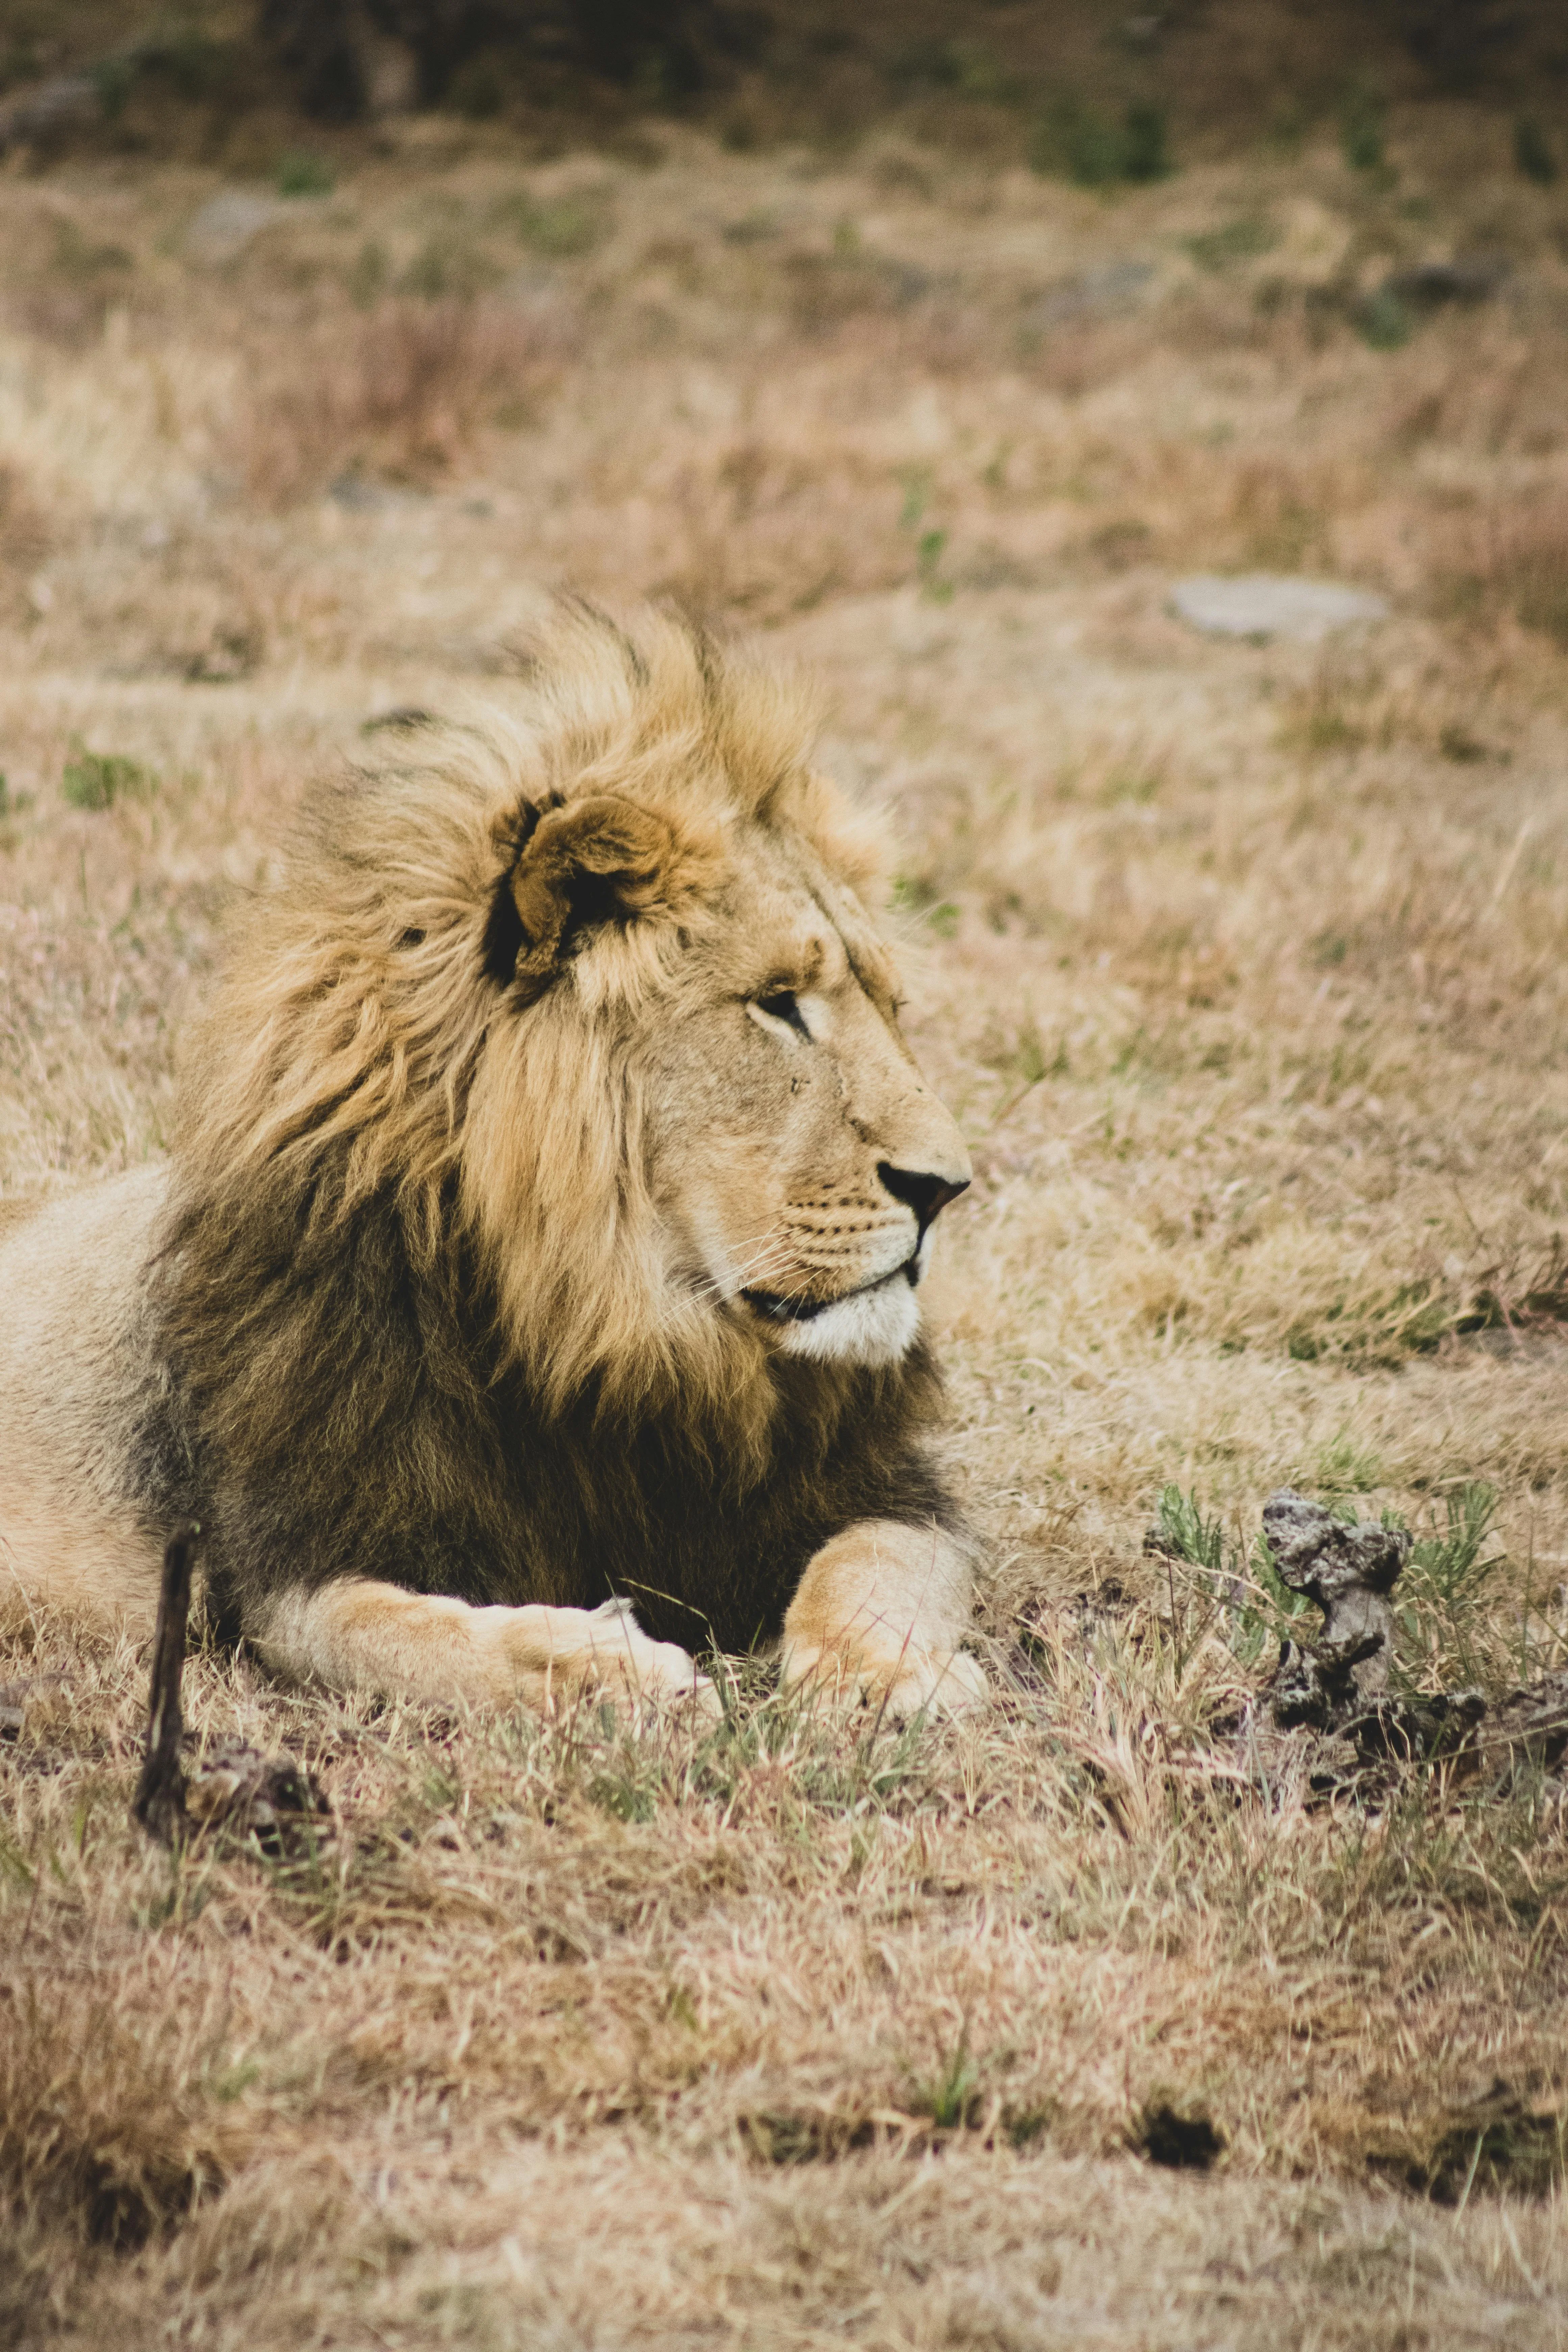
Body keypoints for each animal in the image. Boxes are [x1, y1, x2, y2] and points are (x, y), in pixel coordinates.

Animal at [0, 610, 985, 1719]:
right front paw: (609, 1665)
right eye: (776, 1004)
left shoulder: (879, 1489)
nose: (945, 1189)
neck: (609, 1326)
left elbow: (878, 1564)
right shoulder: (290, 1567)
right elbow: (408, 1634)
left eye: (889, 1007)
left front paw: (875, 1676)